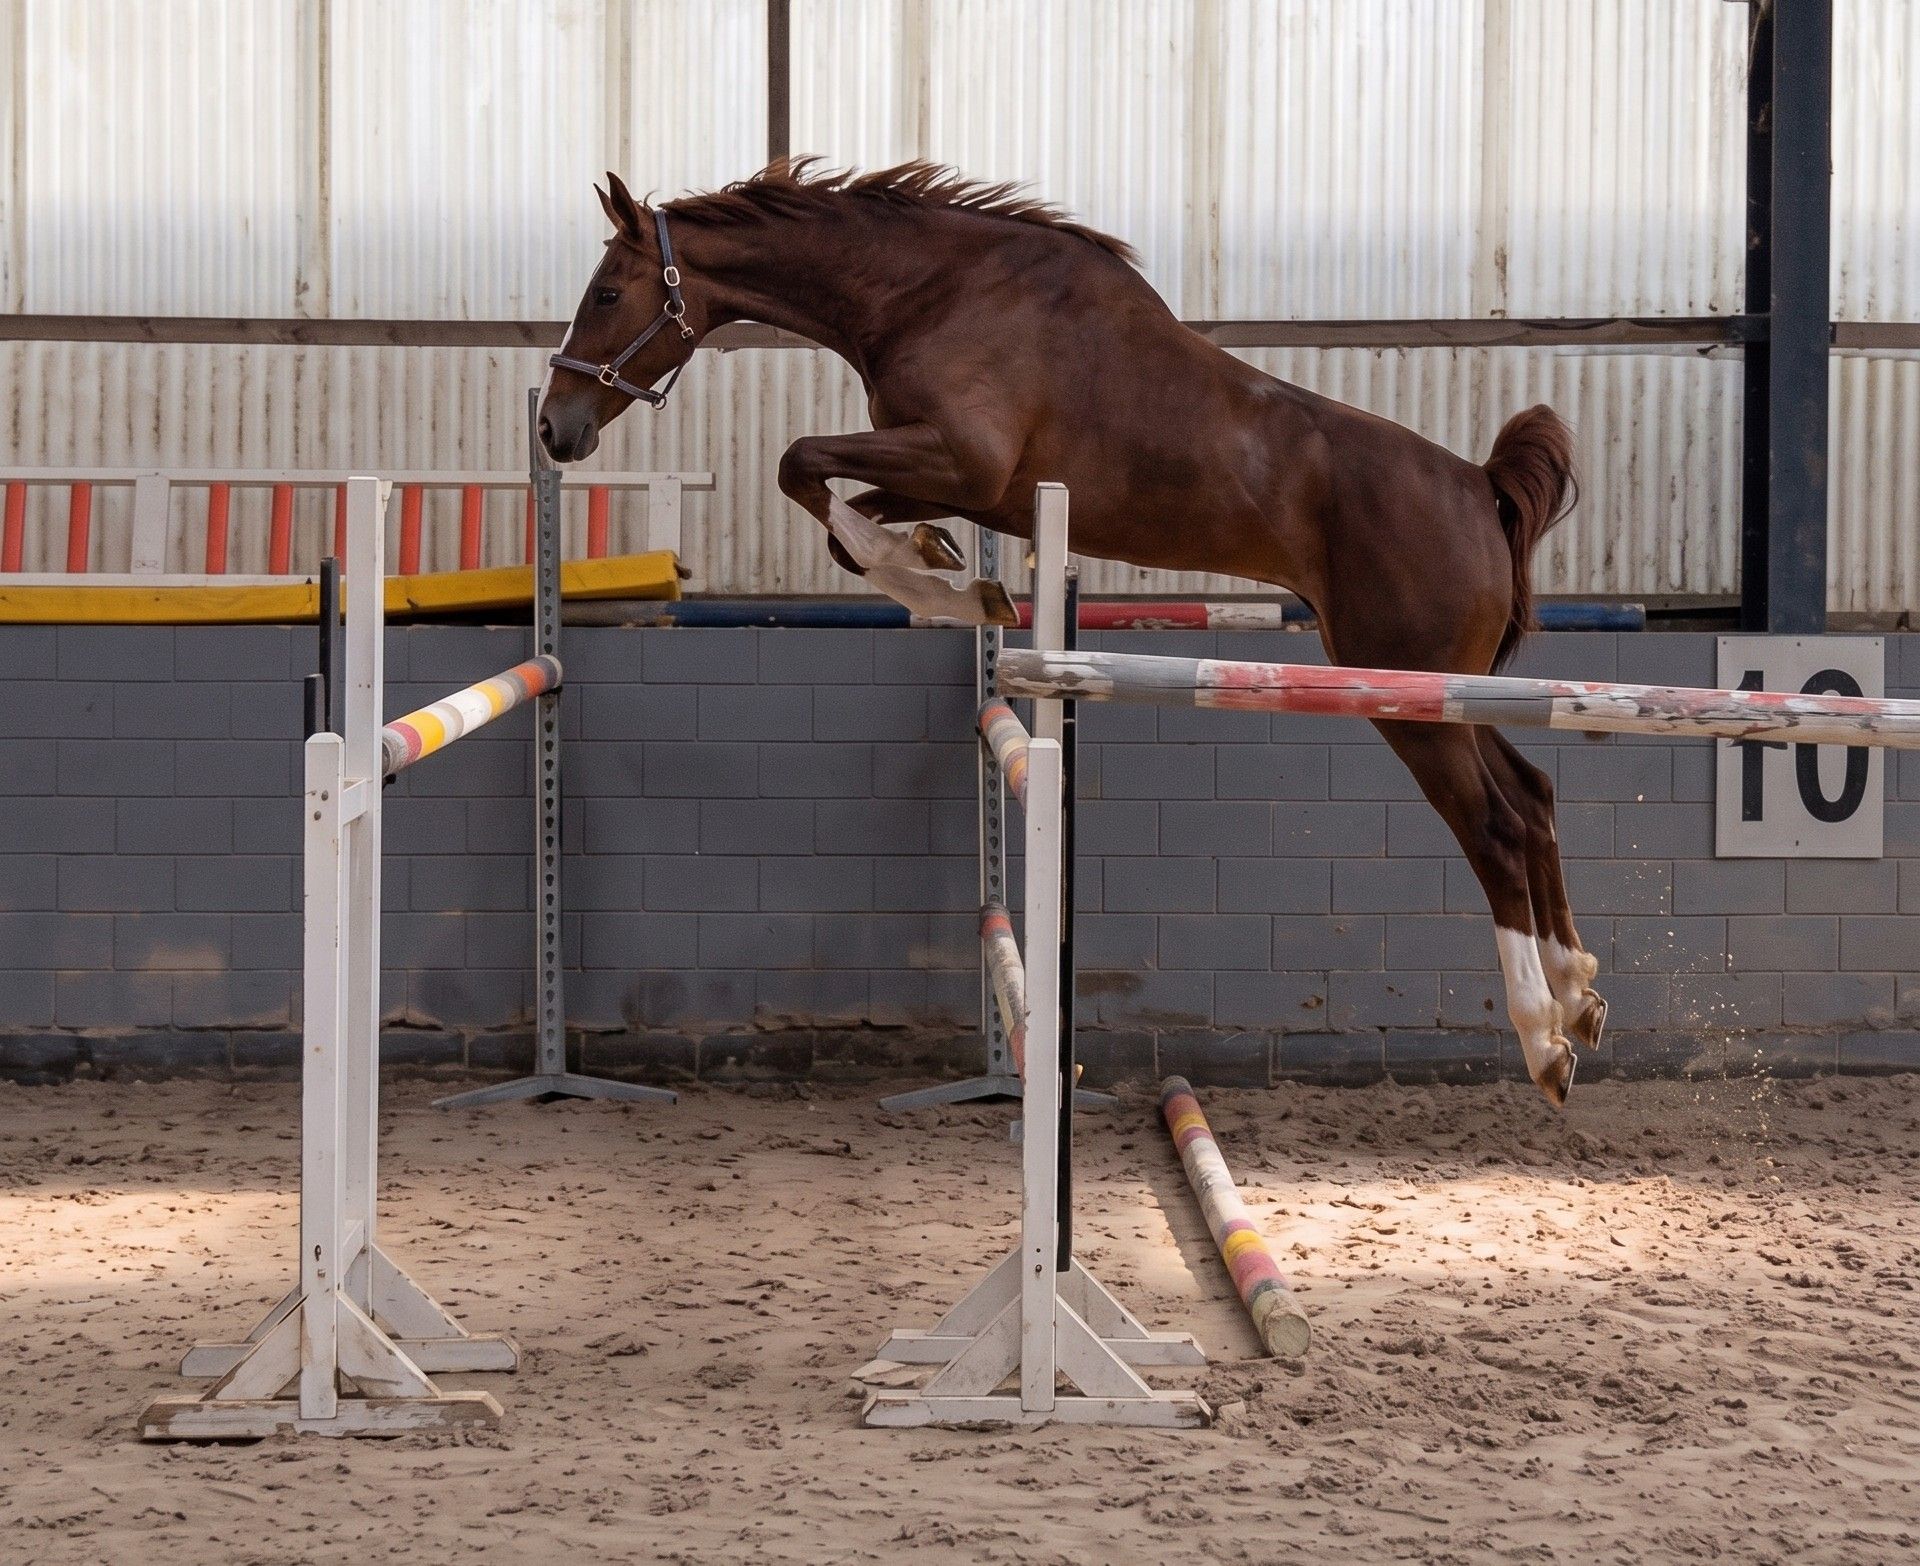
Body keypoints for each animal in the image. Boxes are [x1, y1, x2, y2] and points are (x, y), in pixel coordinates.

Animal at [539, 160, 1596, 1108]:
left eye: (606, 292)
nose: (556, 428)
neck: (930, 293)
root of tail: (1479, 488)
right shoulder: (959, 481)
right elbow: (845, 520)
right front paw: (950, 577)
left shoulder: (962, 459)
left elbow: (801, 463)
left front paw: (950, 584)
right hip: (1435, 690)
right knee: (1535, 795)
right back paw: (1579, 993)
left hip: (1405, 693)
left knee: (1495, 827)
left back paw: (1544, 1041)